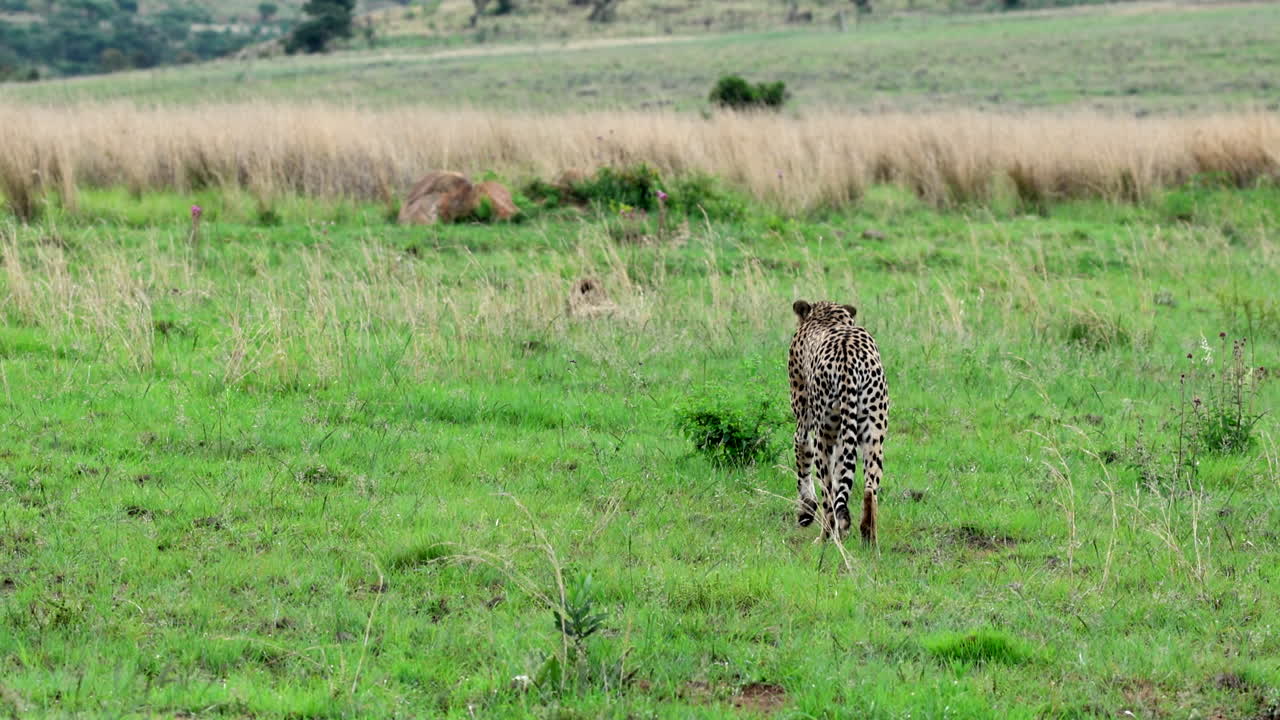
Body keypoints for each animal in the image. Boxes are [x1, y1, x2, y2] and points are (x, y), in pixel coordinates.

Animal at [787, 300, 888, 544]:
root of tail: (848, 357)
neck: (827, 316)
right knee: (870, 489)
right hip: (873, 433)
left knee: (829, 494)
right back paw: (868, 538)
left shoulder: (804, 423)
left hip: (825, 435)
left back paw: (824, 537)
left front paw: (805, 512)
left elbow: (802, 461)